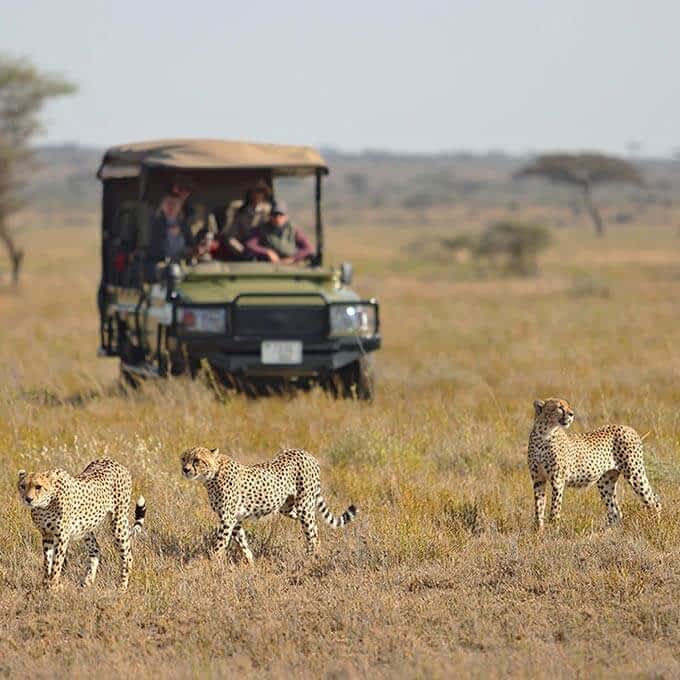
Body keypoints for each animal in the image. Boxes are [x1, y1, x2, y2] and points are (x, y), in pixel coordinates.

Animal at [17, 460, 146, 592]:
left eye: (38, 487)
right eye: (23, 486)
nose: (28, 499)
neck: (44, 505)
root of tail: (115, 462)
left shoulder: (62, 537)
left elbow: (56, 563)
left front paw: (53, 586)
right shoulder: (47, 535)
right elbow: (47, 562)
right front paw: (45, 583)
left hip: (118, 522)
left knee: (127, 556)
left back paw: (122, 587)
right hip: (86, 528)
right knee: (95, 549)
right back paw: (87, 582)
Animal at [183, 446, 358, 564]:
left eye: (197, 460)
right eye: (184, 459)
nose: (185, 469)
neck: (212, 475)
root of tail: (305, 453)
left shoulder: (228, 518)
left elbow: (220, 543)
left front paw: (211, 563)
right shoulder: (235, 519)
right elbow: (242, 541)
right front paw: (250, 563)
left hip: (304, 505)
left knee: (311, 533)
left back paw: (309, 558)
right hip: (287, 508)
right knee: (314, 528)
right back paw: (317, 552)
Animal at [528, 398, 660, 532]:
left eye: (568, 406)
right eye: (559, 407)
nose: (571, 414)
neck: (544, 433)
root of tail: (628, 427)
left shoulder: (557, 479)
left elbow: (554, 508)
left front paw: (553, 530)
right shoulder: (538, 479)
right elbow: (539, 507)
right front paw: (538, 531)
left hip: (634, 473)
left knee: (653, 501)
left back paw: (654, 526)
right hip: (606, 481)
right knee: (615, 511)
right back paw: (608, 532)